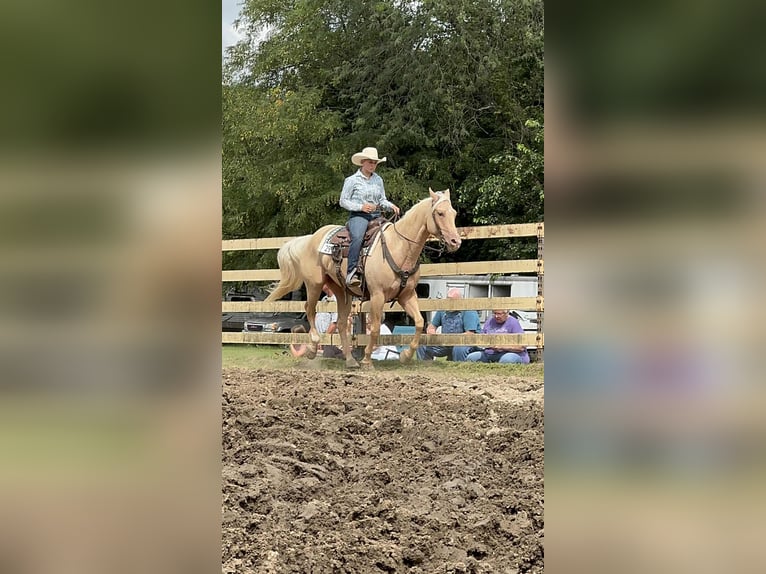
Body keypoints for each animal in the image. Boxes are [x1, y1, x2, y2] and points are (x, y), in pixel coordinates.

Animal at [265, 188, 462, 368]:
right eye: (440, 213)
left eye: (454, 213)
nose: (455, 242)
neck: (399, 248)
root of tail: (311, 238)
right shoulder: (377, 295)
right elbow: (374, 329)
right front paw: (367, 360)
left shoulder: (407, 295)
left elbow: (420, 322)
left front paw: (405, 356)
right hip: (314, 284)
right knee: (310, 309)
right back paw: (313, 349)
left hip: (340, 290)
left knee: (341, 323)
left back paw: (351, 360)